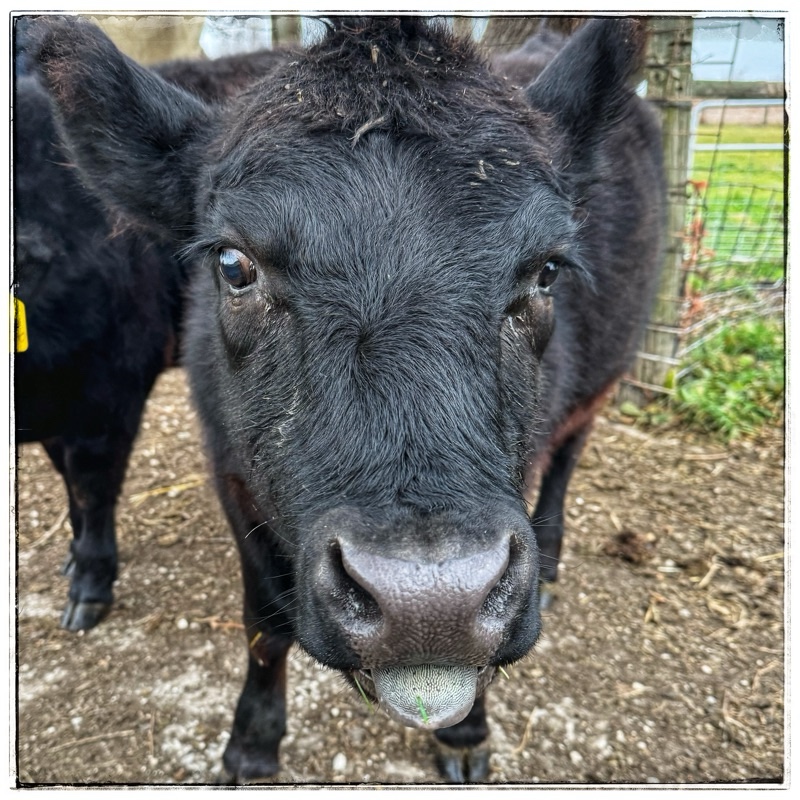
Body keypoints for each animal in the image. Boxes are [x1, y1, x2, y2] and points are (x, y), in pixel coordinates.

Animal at [29, 15, 665, 782]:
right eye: (234, 265)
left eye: (546, 270)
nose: (431, 603)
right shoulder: (227, 469)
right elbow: (263, 623)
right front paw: (252, 743)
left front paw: (465, 734)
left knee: (569, 458)